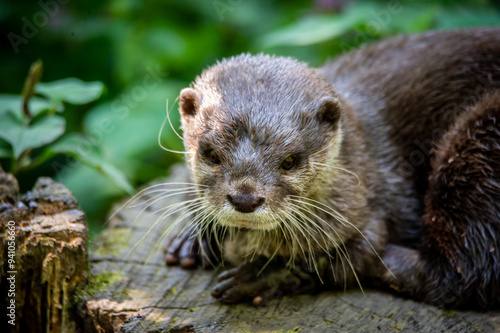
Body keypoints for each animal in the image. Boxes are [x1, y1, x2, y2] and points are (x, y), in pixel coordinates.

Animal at [165, 27, 500, 308]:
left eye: (290, 161)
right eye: (211, 154)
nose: (244, 198)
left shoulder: (373, 202)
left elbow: (345, 258)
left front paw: (259, 276)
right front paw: (192, 240)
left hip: (480, 140)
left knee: (462, 273)